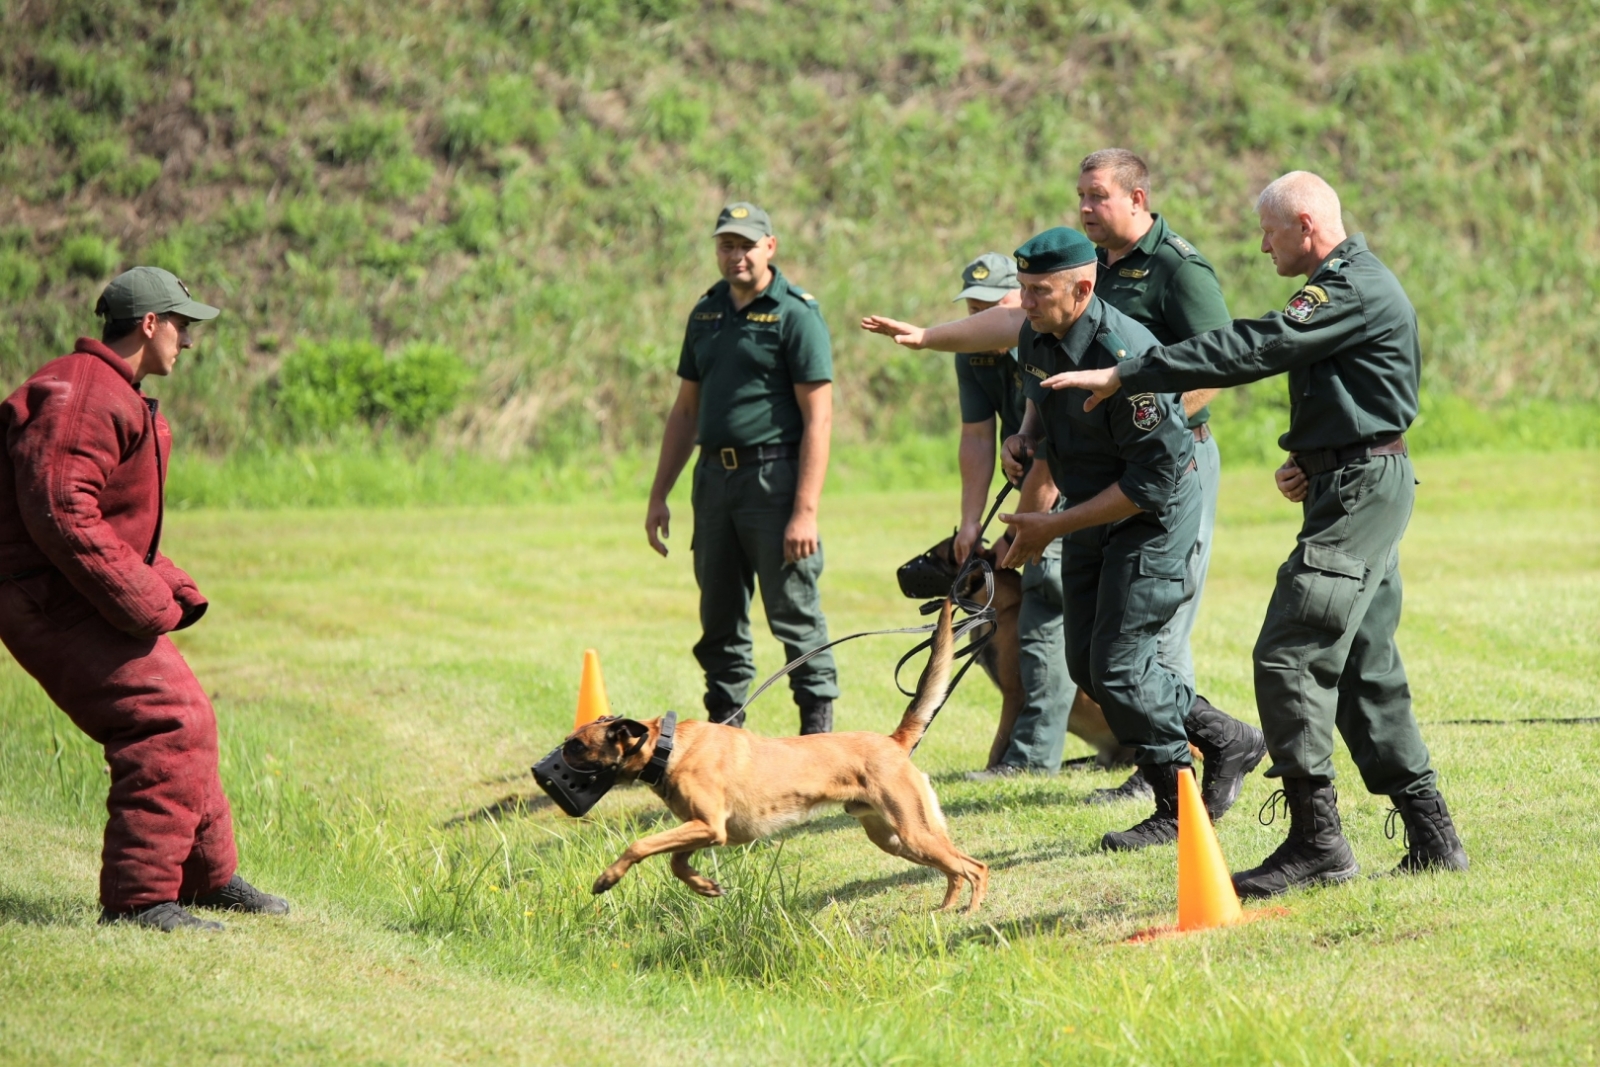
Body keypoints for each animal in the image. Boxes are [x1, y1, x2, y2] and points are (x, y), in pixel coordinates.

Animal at [563, 604, 985, 915]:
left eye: (576, 746)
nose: (549, 770)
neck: (668, 748)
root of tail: (893, 742)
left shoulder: (708, 826)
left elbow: (641, 845)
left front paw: (607, 878)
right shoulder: (703, 827)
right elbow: (676, 863)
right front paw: (705, 886)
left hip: (912, 831)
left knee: (977, 868)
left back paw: (969, 912)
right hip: (897, 839)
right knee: (955, 868)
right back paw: (946, 909)